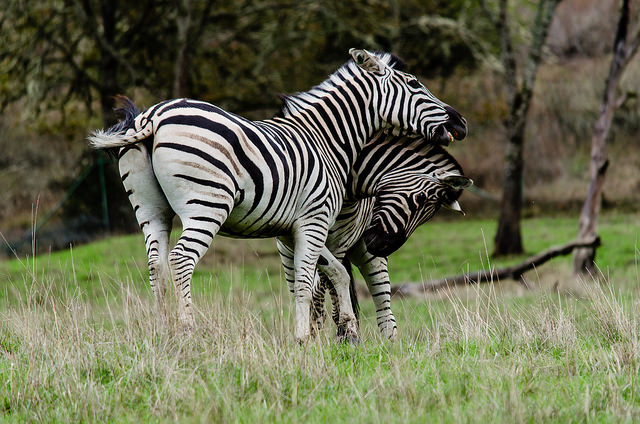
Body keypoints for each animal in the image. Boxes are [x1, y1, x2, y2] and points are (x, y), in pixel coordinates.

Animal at [276, 134, 470, 340]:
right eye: (421, 198)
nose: (382, 247)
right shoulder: (297, 239)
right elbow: (317, 288)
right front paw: (318, 330)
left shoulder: (337, 242)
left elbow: (328, 285)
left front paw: (340, 332)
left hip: (367, 257)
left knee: (384, 308)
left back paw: (385, 343)